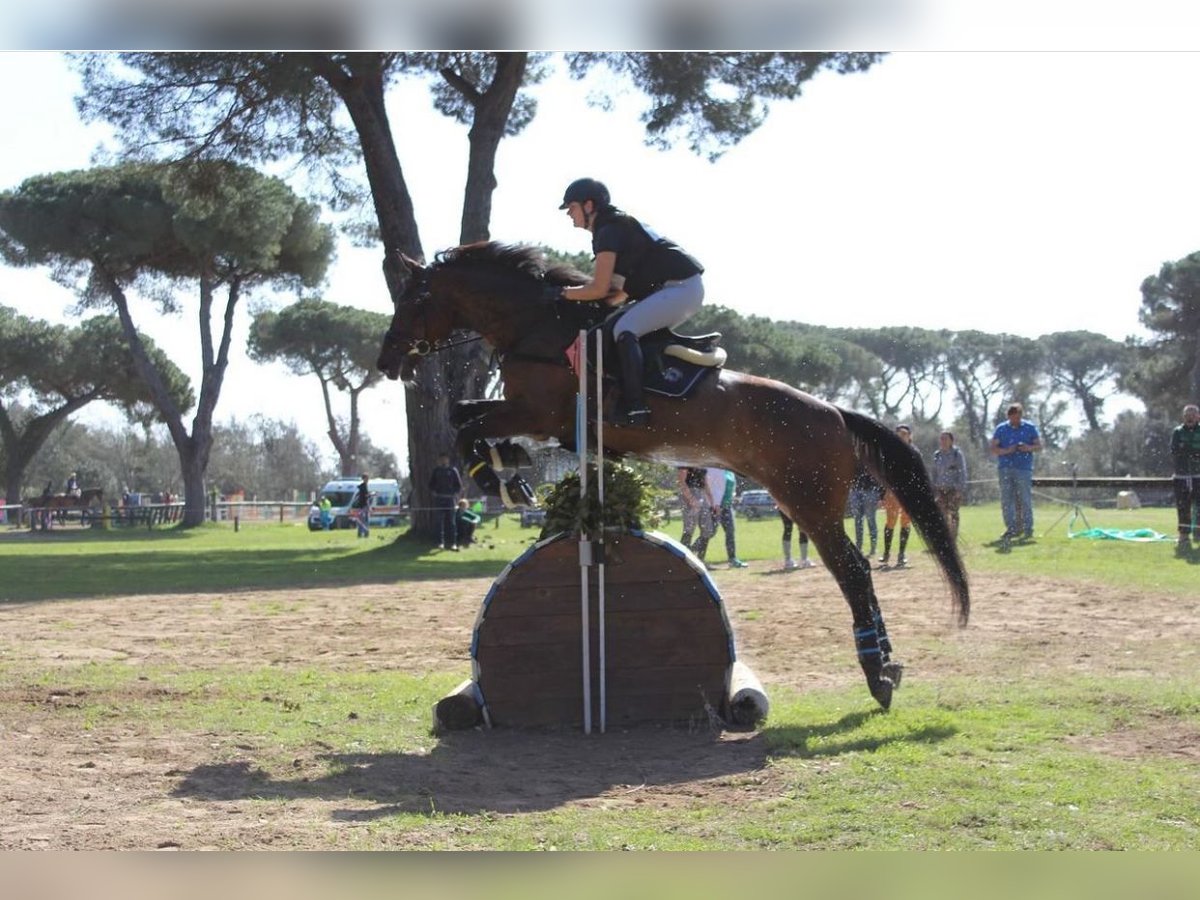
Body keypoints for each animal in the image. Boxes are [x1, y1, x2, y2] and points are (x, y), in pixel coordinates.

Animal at [379, 241, 969, 710]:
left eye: (413, 301)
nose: (386, 362)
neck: (536, 329)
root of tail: (837, 415)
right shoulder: (536, 417)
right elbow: (464, 414)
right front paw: (508, 470)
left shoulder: (538, 413)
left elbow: (465, 424)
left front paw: (501, 477)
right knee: (854, 569)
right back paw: (885, 664)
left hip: (809, 503)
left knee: (853, 570)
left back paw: (877, 670)